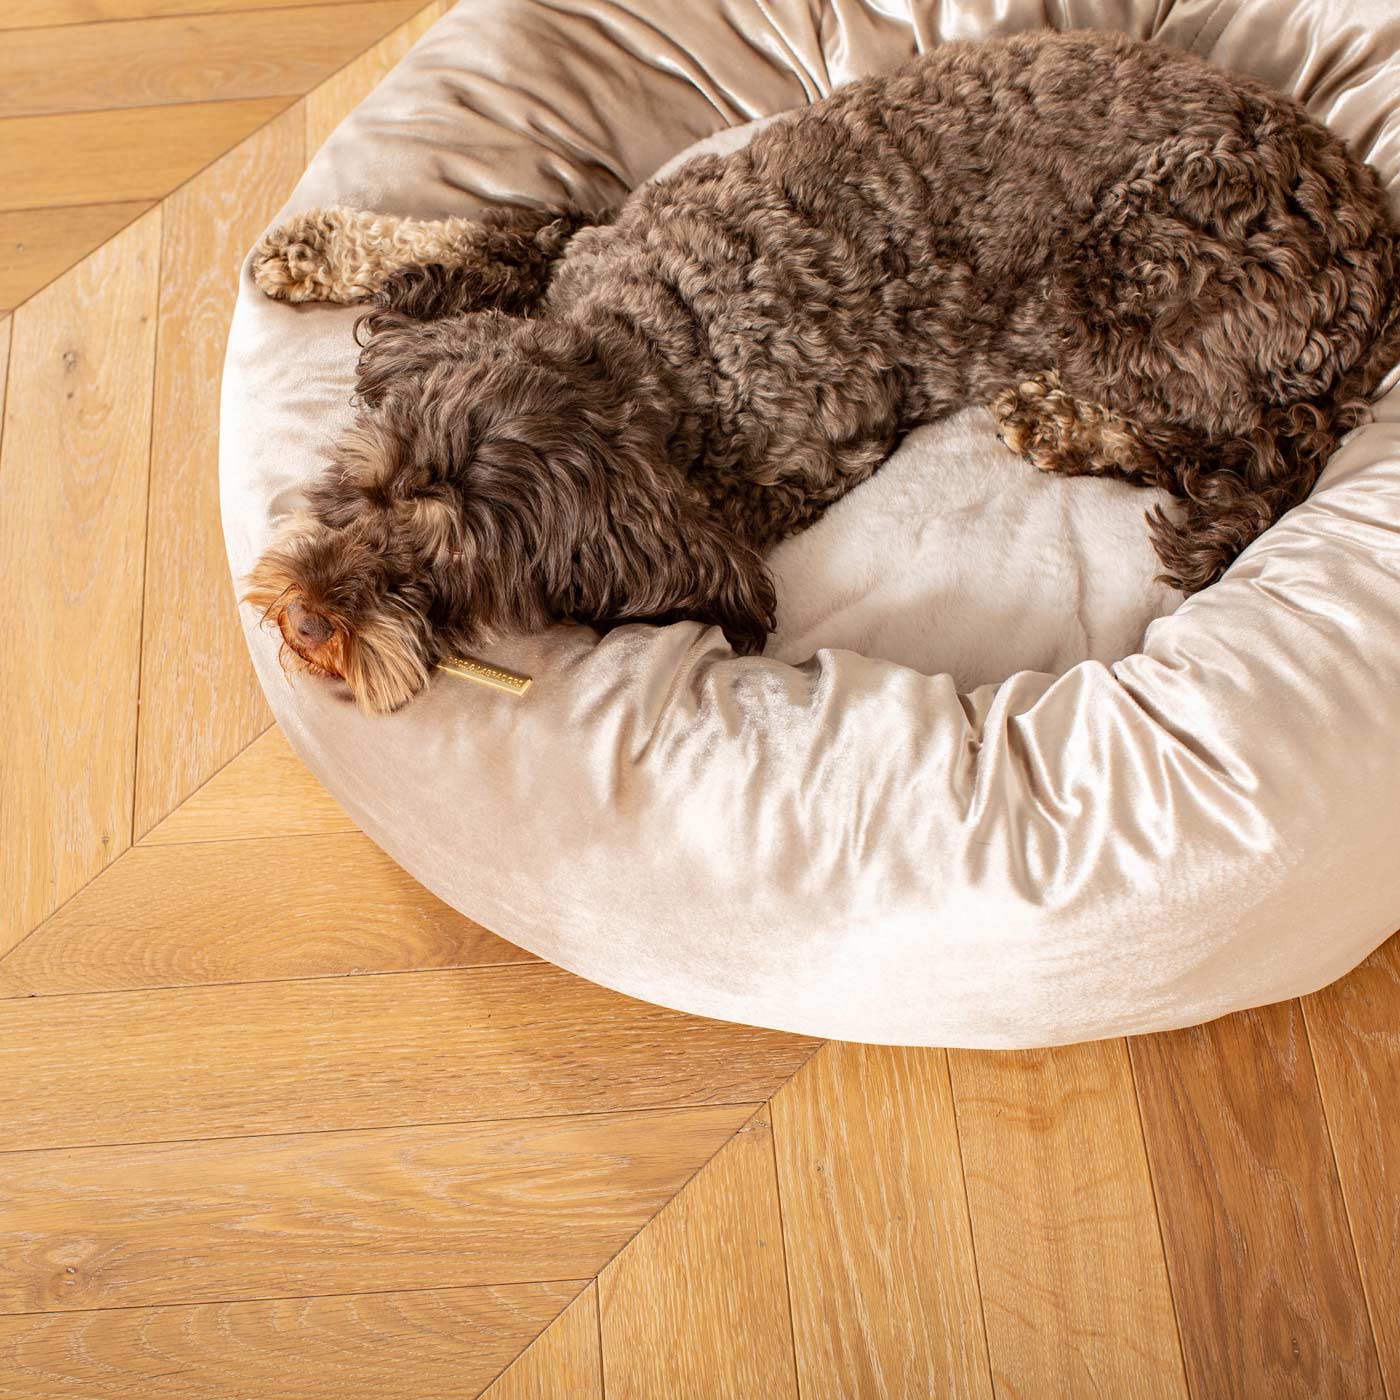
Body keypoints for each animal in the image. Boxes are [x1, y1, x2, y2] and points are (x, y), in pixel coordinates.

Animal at [243, 27, 1400, 711]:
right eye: (365, 484)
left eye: (456, 567)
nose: (308, 620)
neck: (649, 350)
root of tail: (1375, 238)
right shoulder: (576, 237)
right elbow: (467, 232)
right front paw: (315, 247)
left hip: (1129, 266)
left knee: (1239, 449)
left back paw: (1065, 420)